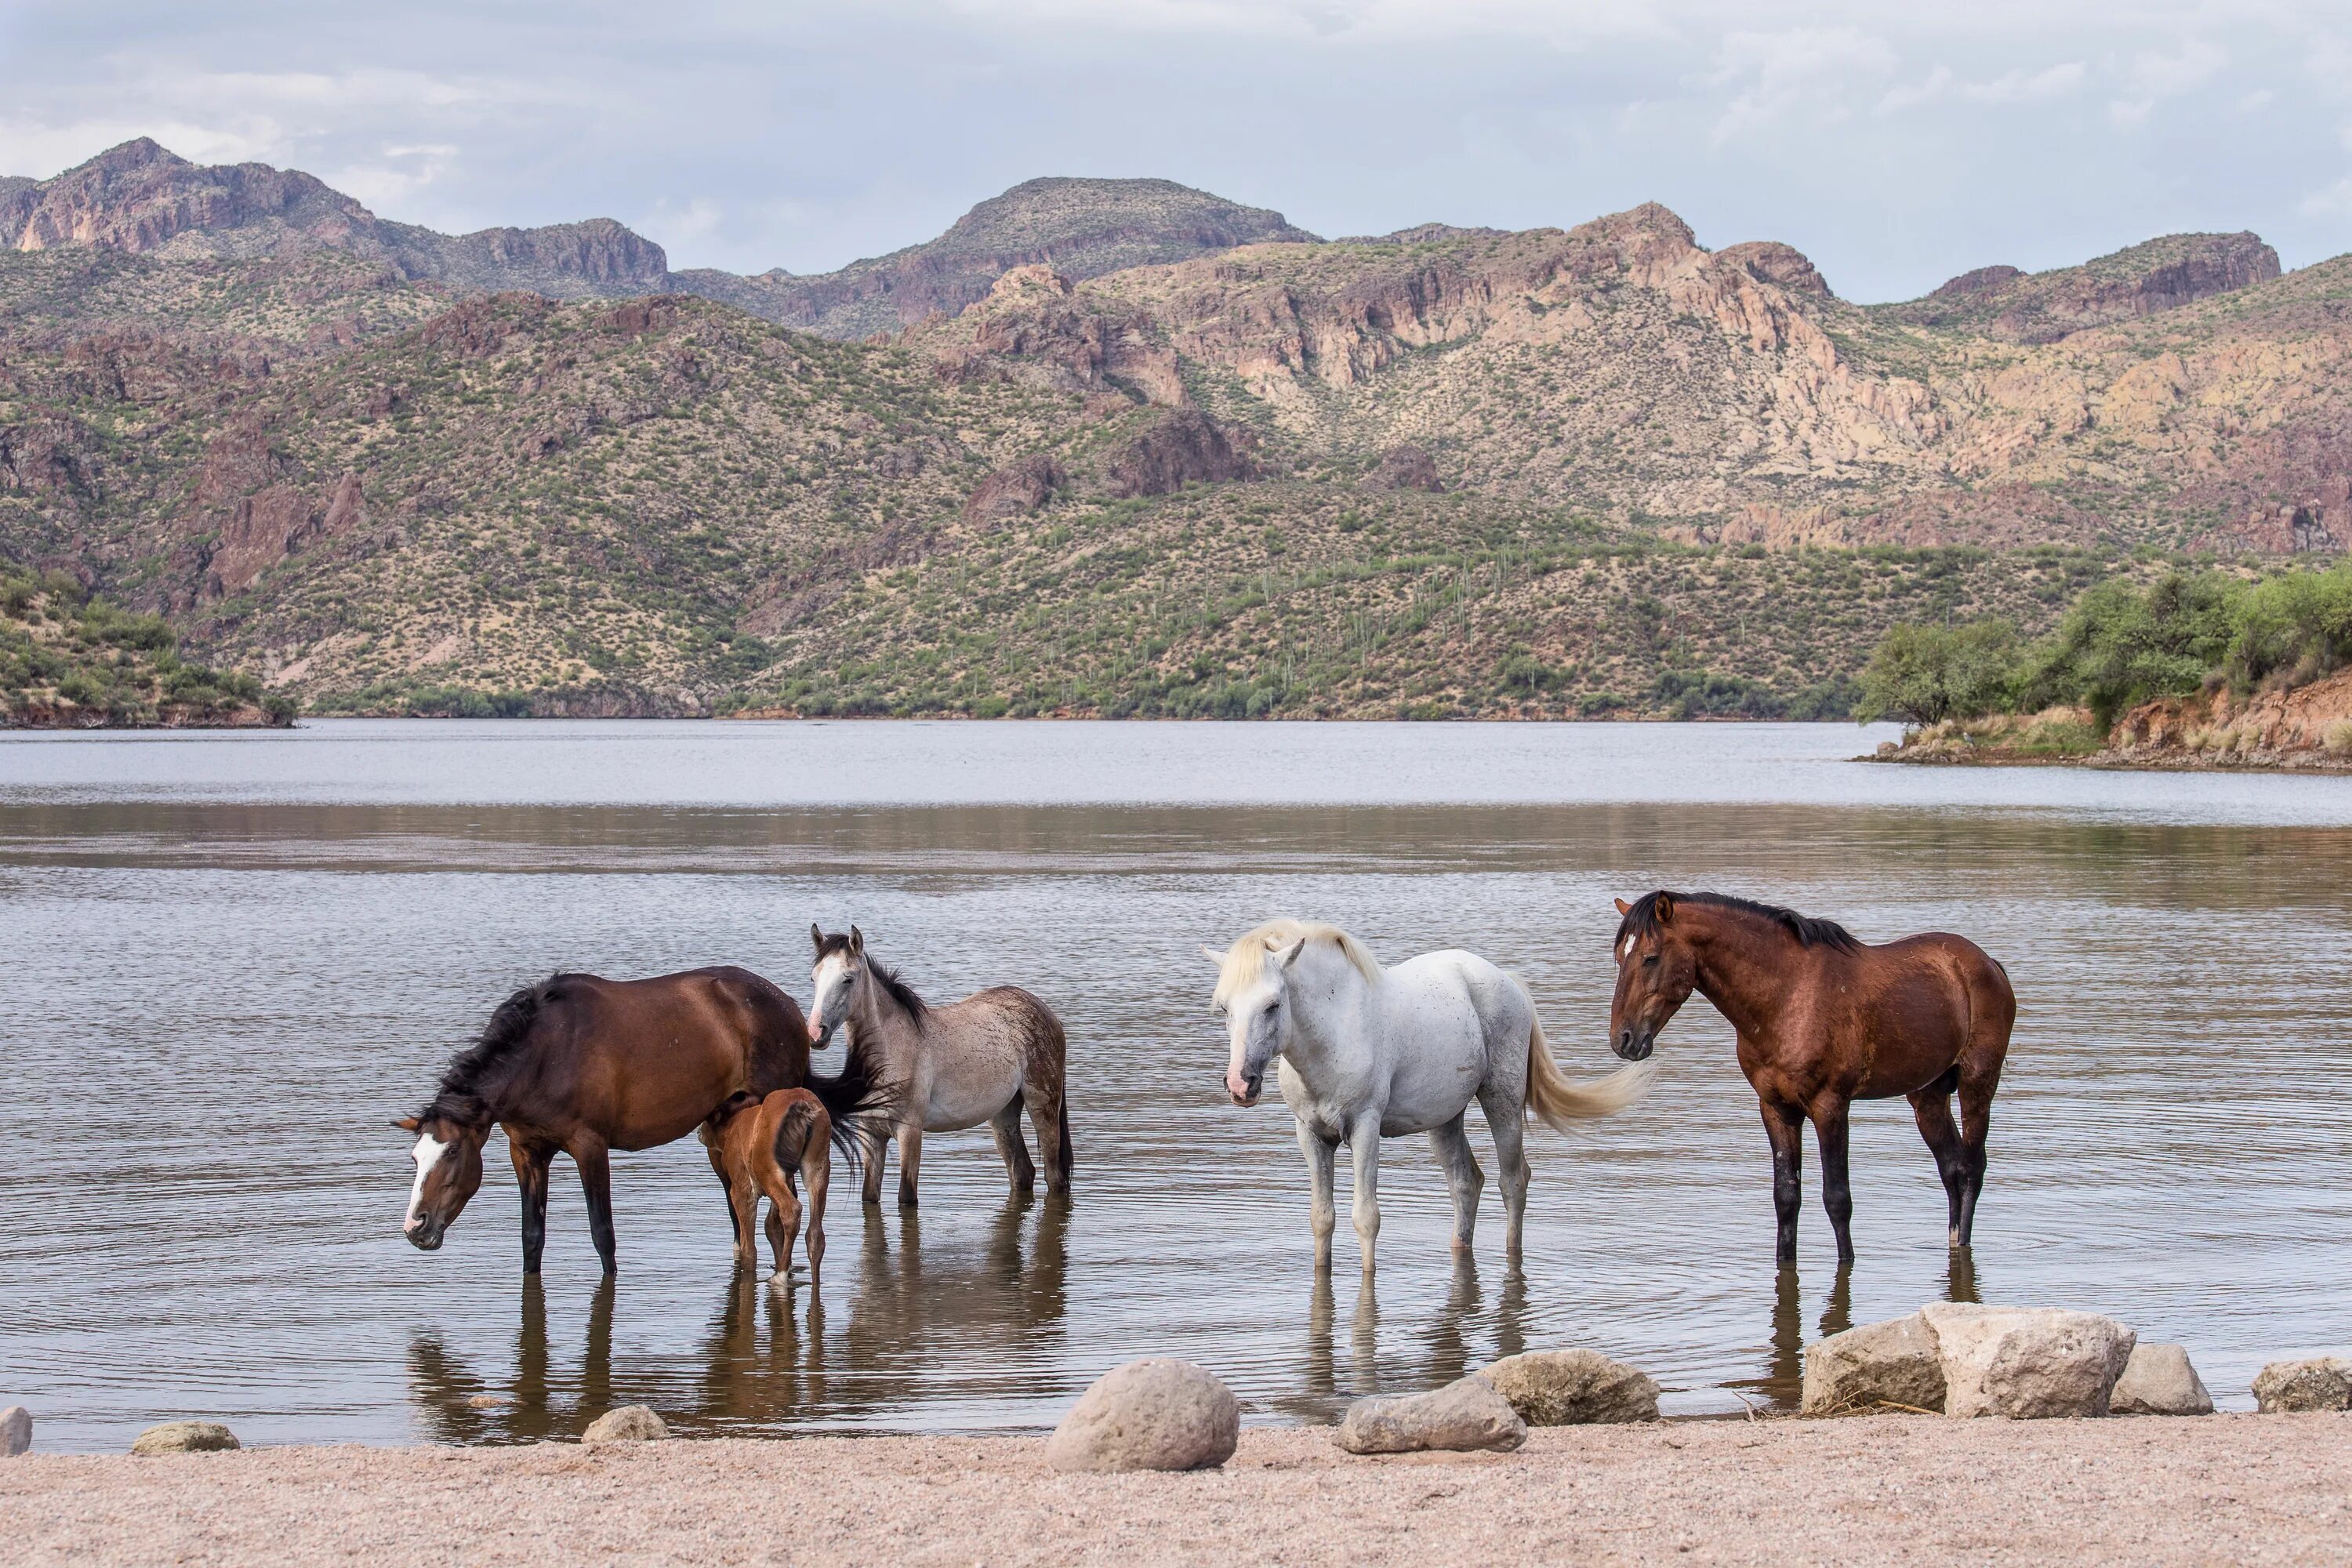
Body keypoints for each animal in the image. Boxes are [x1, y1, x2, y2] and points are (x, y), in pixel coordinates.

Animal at [400, 968, 884, 1279]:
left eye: (453, 1150)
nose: (416, 1227)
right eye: (416, 1157)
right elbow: (532, 1236)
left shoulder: (589, 1146)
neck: (544, 1054)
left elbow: (603, 1234)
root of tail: (790, 1009)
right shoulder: (527, 1152)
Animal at [804, 926, 1073, 1213]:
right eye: (814, 978)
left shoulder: (910, 1132)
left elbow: (907, 1197)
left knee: (1054, 1176)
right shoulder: (871, 1134)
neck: (891, 1050)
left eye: (848, 979)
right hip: (1004, 1113)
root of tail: (1047, 1012)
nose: (815, 1033)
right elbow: (869, 1197)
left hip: (1043, 1106)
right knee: (1022, 1172)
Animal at [1214, 921, 1656, 1279]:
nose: (1241, 1084)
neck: (1333, 1032)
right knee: (1466, 1183)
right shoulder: (1312, 1135)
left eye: (1273, 1004)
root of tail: (1507, 981)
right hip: (1446, 1117)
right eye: (1225, 1008)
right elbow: (1322, 1219)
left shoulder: (1364, 1128)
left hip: (1502, 1100)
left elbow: (1366, 1217)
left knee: (1513, 1181)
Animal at [1609, 888, 2013, 1269]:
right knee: (1952, 1168)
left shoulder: (1830, 1105)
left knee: (1972, 1167)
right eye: (1619, 958)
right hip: (1927, 1094)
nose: (1623, 1039)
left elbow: (1837, 1199)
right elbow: (1786, 1197)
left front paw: (1846, 1263)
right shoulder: (1776, 1107)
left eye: (1650, 957)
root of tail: (1989, 964)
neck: (1785, 998)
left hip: (1978, 1082)